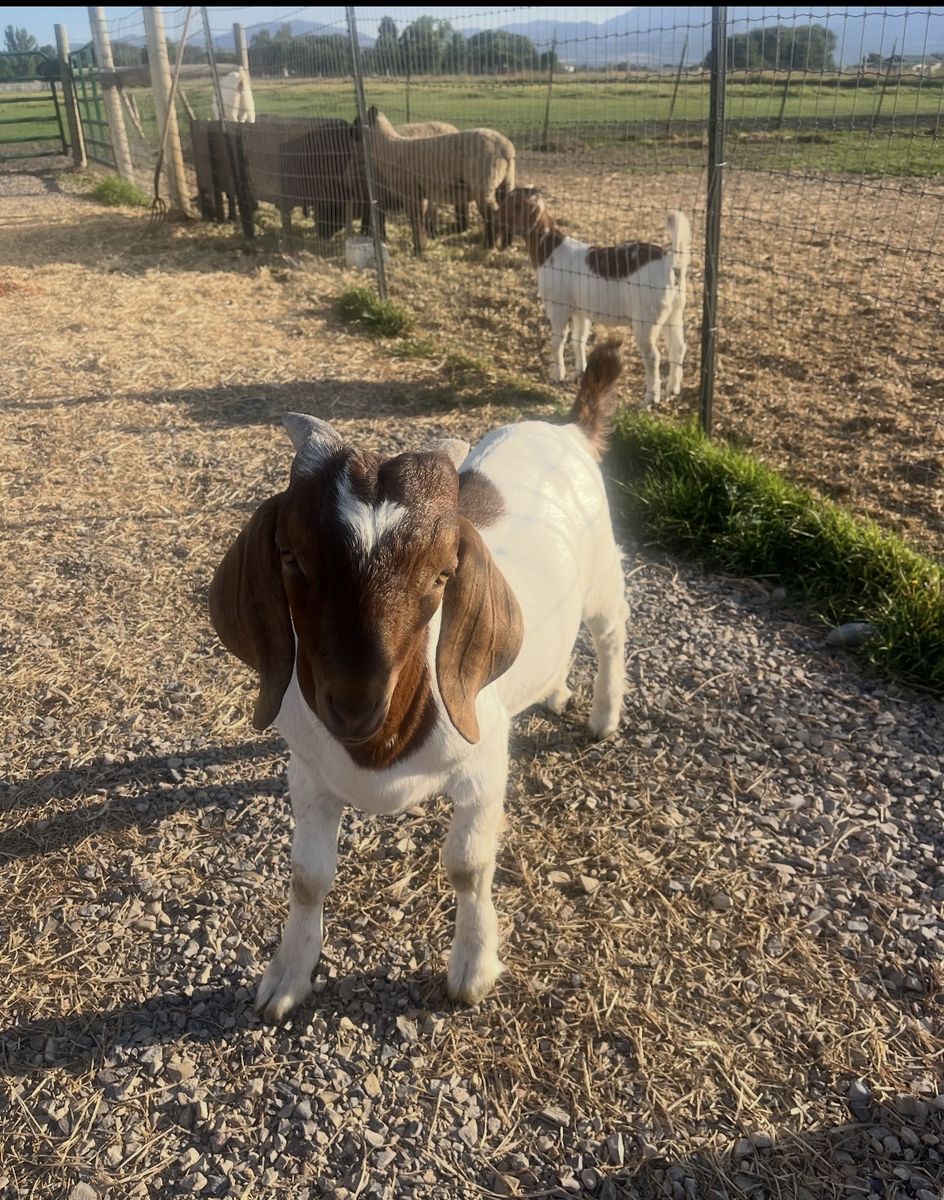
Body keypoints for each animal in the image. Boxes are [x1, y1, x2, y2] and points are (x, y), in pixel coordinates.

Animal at [208, 343, 629, 1020]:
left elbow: (468, 865)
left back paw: (604, 718)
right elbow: (308, 876)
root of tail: (567, 427)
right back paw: (556, 688)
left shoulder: (484, 771)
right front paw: (286, 978)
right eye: (293, 558)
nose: (354, 705)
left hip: (602, 577)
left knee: (612, 630)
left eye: (441, 574)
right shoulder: (308, 773)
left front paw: (473, 970)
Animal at [361, 108, 516, 253]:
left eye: (358, 120)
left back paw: (489, 246)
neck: (390, 147)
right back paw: (506, 245)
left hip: (484, 185)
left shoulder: (410, 192)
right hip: (506, 182)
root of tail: (506, 148)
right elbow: (420, 217)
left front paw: (418, 249)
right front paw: (423, 244)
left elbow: (415, 219)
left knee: (492, 215)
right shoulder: (420, 193)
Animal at [499, 187, 691, 405]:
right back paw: (672, 390)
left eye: (509, 204)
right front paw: (579, 373)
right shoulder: (580, 312)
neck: (549, 249)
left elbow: (557, 342)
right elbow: (578, 340)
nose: (494, 216)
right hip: (673, 314)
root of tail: (671, 261)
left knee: (653, 357)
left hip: (646, 321)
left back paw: (650, 399)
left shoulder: (558, 308)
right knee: (678, 348)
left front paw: (557, 375)